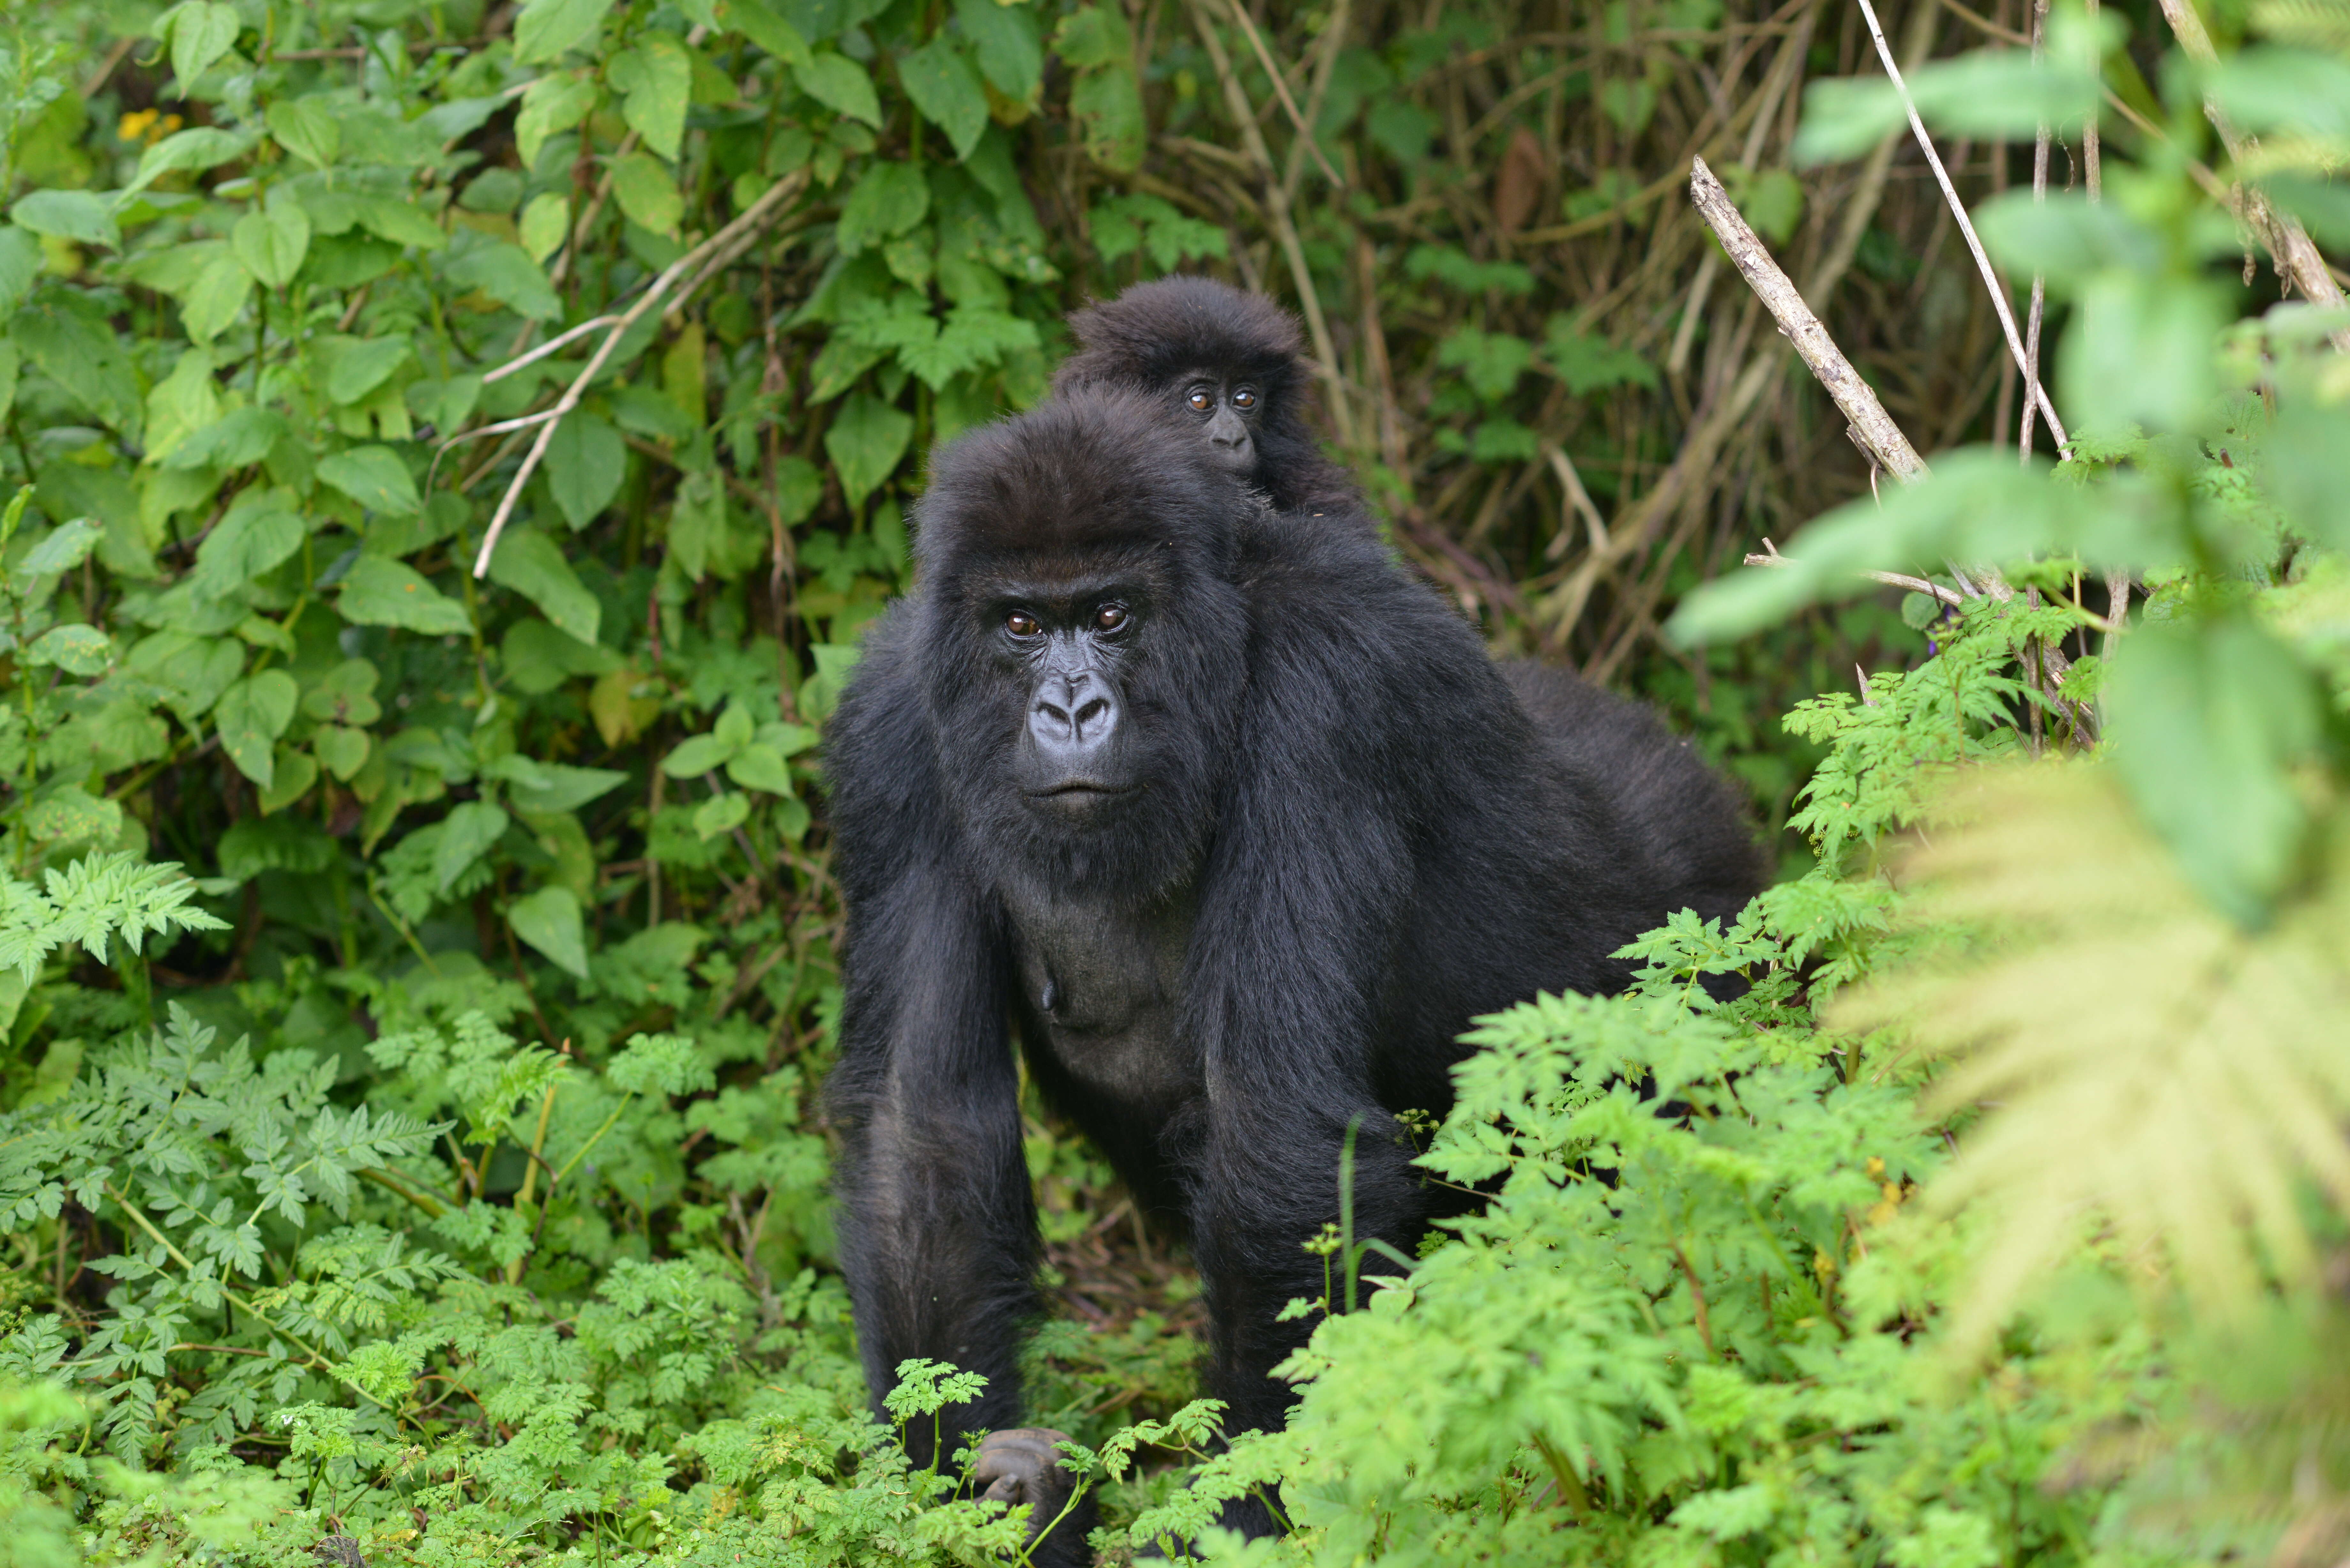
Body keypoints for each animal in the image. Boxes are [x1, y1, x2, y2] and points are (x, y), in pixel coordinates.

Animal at [818, 385, 1758, 1561]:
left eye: (1114, 615)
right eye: (1021, 625)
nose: (1071, 712)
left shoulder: (1330, 693)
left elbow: (1281, 1148)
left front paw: (1233, 1517)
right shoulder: (894, 723)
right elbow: (924, 1135)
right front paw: (965, 1505)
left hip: (1703, 932)